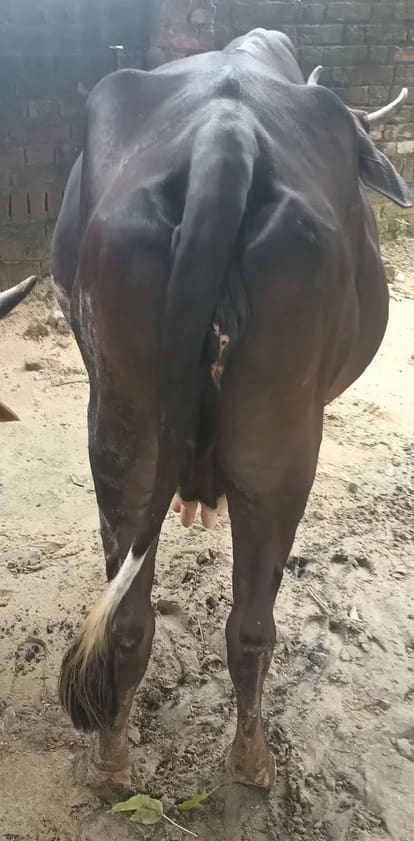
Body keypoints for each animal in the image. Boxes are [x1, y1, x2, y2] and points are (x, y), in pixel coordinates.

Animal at [52, 29, 411, 790]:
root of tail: (226, 135)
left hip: (120, 432)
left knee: (129, 617)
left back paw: (114, 761)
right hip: (280, 448)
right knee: (251, 627)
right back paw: (253, 762)